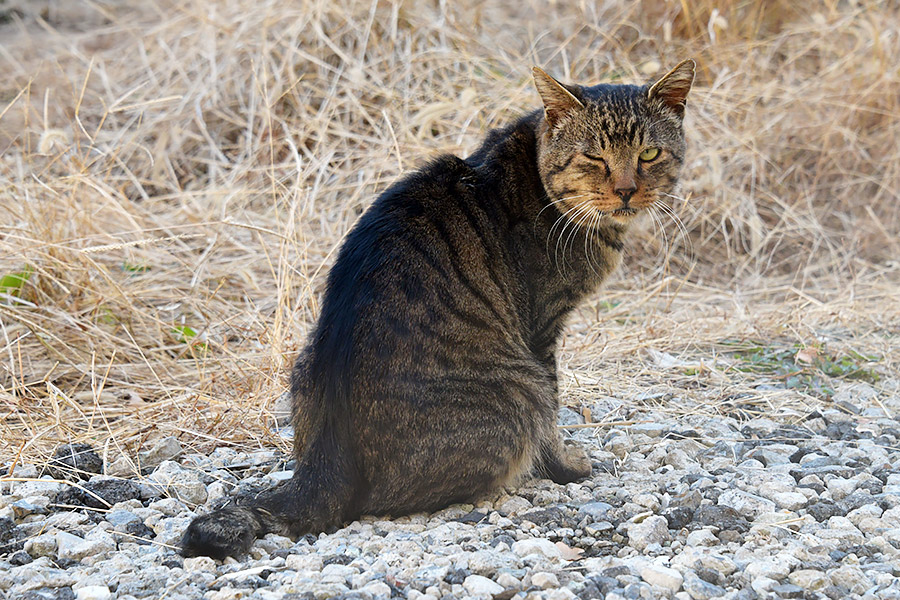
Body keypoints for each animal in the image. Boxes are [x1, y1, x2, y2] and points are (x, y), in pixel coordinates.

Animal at [179, 58, 692, 560]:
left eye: (648, 155)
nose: (626, 190)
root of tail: (324, 463)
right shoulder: (542, 331)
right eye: (594, 157)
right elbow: (553, 418)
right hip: (519, 389)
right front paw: (567, 465)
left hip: (303, 358)